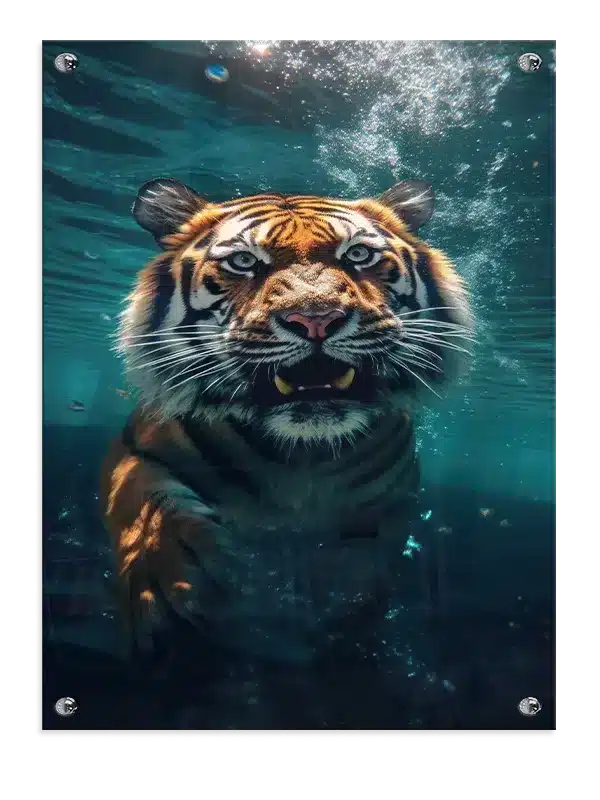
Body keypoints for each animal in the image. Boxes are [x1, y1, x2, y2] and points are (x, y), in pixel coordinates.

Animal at [100, 177, 473, 662]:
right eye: (243, 262)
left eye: (358, 255)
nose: (316, 318)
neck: (302, 455)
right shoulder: (136, 448)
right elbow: (144, 505)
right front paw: (168, 588)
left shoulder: (390, 503)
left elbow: (363, 573)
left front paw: (342, 622)